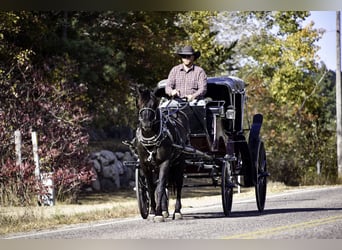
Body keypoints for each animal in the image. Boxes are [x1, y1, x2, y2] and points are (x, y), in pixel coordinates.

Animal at [134, 87, 188, 222]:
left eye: (154, 104)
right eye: (139, 103)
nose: (146, 125)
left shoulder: (165, 163)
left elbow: (160, 188)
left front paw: (158, 214)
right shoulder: (145, 165)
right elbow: (151, 188)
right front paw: (153, 212)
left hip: (180, 162)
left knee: (178, 184)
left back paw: (177, 211)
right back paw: (164, 210)